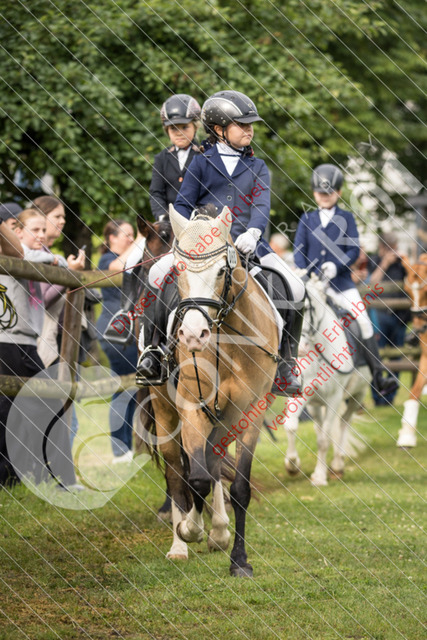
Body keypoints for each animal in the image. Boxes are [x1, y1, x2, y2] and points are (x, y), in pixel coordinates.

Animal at [140, 205, 280, 577]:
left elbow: (239, 486)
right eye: (178, 269)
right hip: (165, 411)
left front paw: (239, 560)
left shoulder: (250, 413)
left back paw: (218, 531)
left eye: (221, 270)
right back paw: (181, 542)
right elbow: (196, 478)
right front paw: (189, 529)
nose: (192, 335)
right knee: (177, 471)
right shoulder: (191, 408)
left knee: (214, 461)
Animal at [283, 274, 369, 486]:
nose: (300, 347)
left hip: (357, 395)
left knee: (343, 422)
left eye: (308, 308)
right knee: (321, 427)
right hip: (315, 404)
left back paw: (337, 465)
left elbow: (324, 440)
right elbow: (291, 426)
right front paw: (292, 464)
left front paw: (320, 477)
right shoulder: (299, 395)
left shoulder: (334, 398)